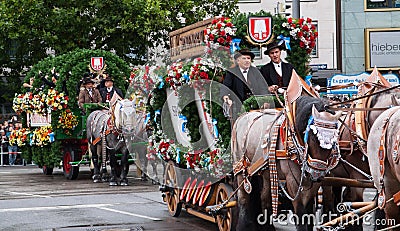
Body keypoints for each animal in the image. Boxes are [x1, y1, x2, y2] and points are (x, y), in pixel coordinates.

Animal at [231, 94, 340, 230]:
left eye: (334, 140)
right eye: (314, 138)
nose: (317, 174)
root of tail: (241, 117)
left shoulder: (313, 185)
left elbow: (309, 213)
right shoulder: (293, 181)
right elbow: (301, 214)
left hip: (266, 173)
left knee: (264, 200)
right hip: (241, 169)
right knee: (243, 200)